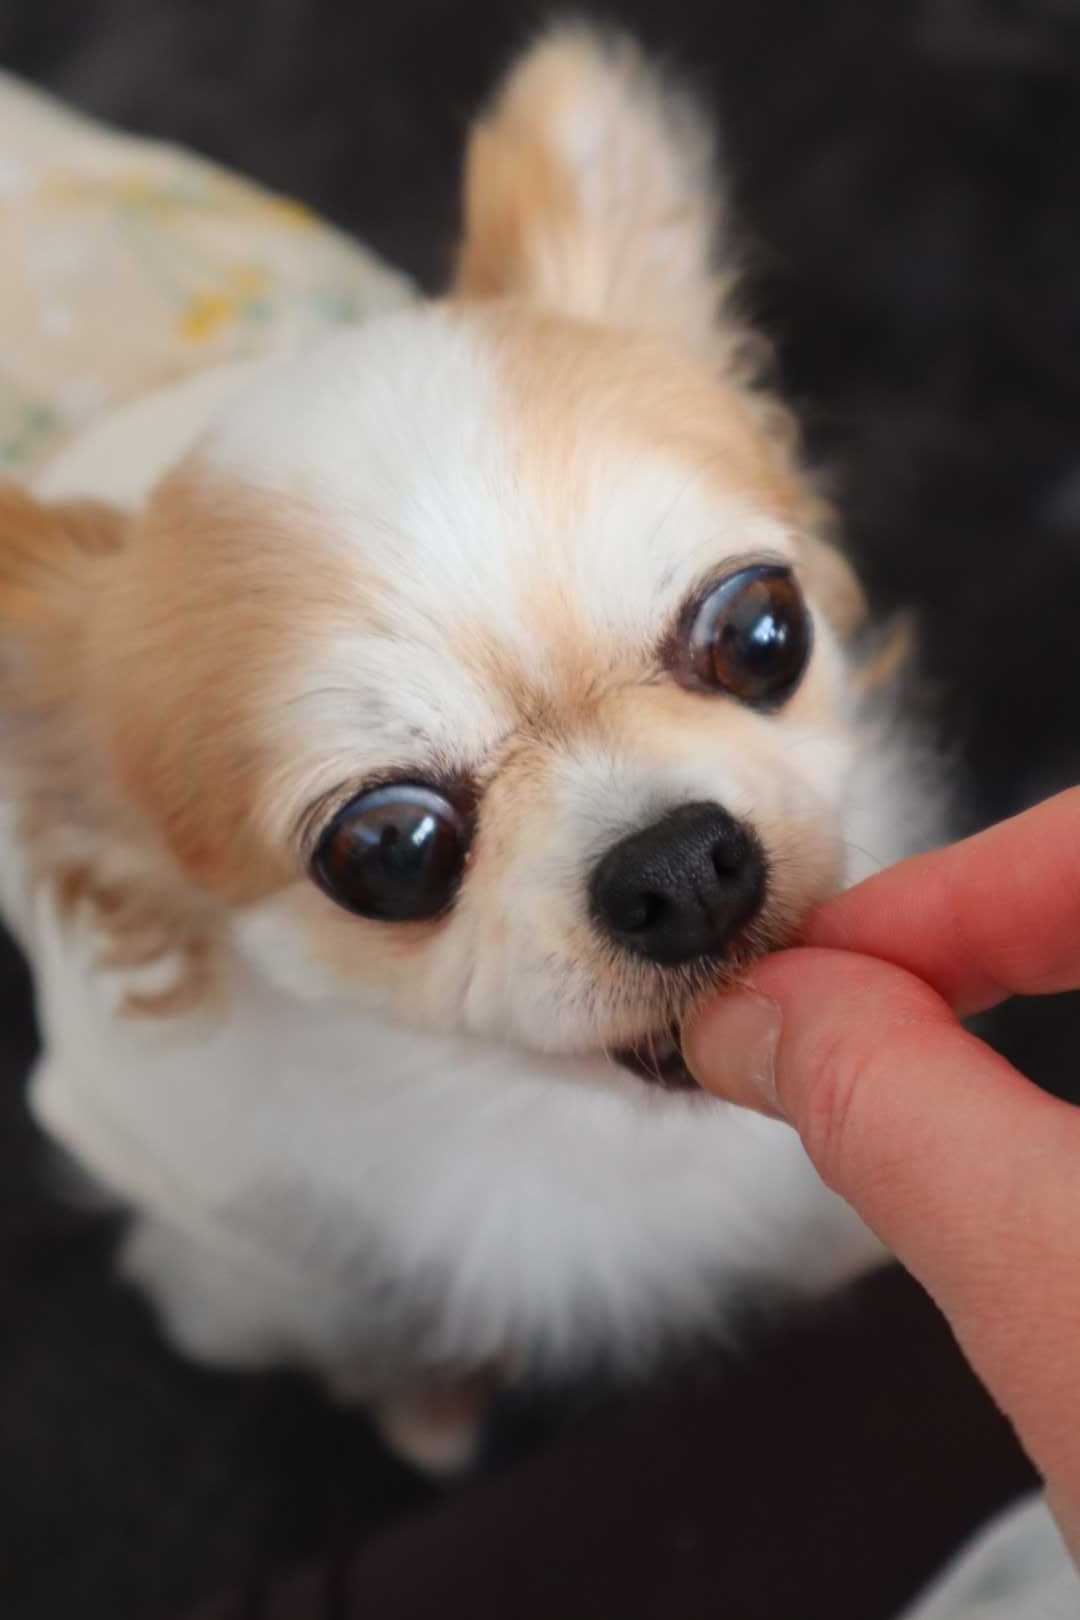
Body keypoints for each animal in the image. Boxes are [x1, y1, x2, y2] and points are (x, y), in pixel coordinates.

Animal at [0, 26, 939, 1471]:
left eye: (762, 631)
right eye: (390, 849)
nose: (679, 864)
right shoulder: (231, 1237)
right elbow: (361, 1325)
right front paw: (430, 1406)